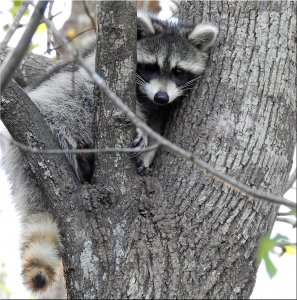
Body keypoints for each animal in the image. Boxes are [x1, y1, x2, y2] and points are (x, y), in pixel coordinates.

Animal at [133, 12, 216, 176]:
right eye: (151, 67)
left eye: (178, 71)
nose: (161, 98)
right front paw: (138, 123)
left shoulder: (161, 110)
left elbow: (156, 130)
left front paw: (146, 157)